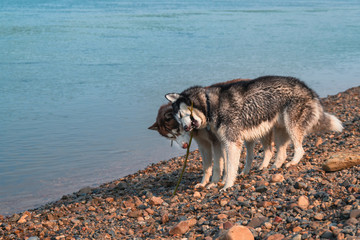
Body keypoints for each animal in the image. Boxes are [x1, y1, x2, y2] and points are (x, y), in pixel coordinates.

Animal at [166, 76, 344, 190]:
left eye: (181, 115)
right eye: (178, 119)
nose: (185, 128)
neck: (210, 103)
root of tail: (308, 88)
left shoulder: (232, 143)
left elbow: (230, 167)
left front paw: (227, 185)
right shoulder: (222, 143)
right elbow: (220, 167)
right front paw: (215, 183)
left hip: (291, 126)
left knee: (299, 149)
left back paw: (293, 162)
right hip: (279, 131)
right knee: (280, 152)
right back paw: (275, 165)